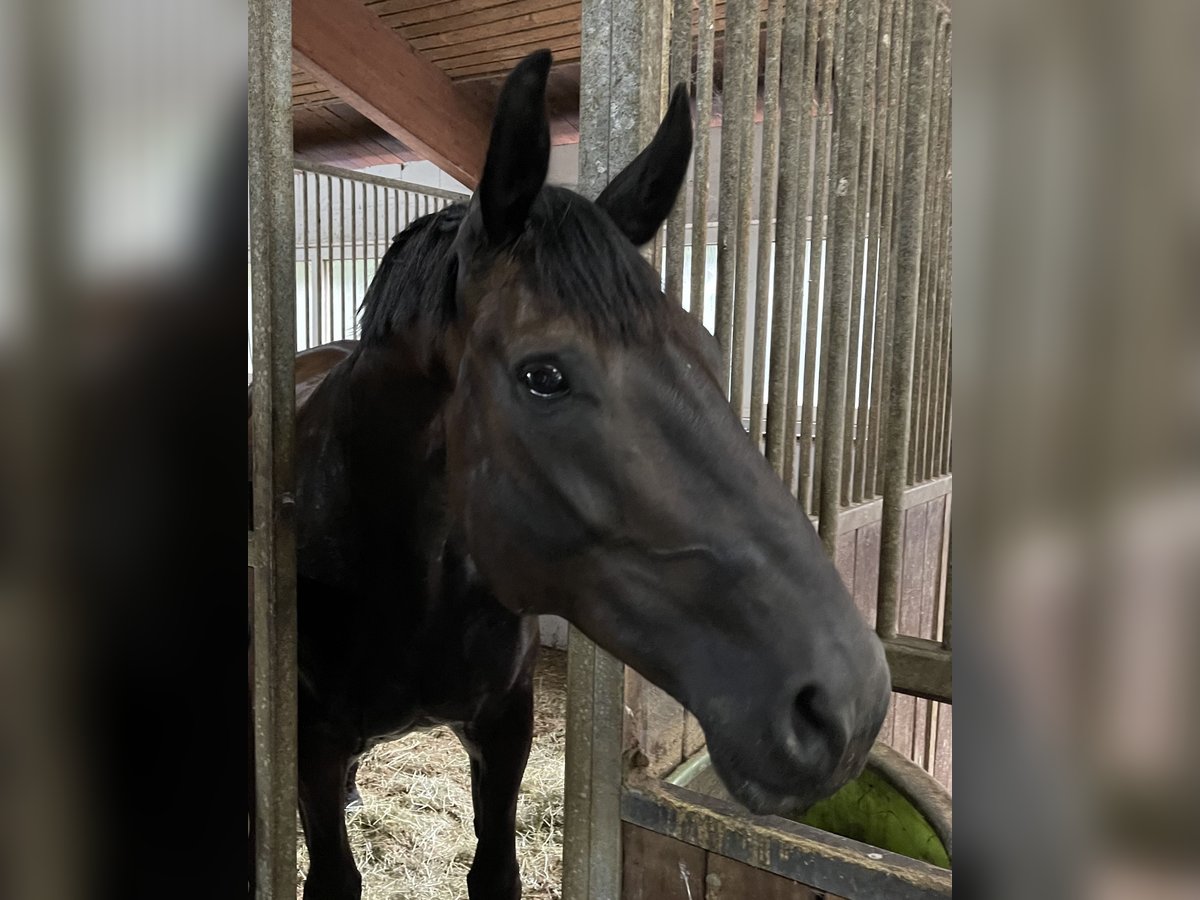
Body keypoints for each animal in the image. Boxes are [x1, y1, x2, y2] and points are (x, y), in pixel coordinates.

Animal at [248, 51, 892, 900]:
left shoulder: (505, 729)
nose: (847, 705)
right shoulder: (311, 751)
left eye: (708, 348)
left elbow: (496, 870)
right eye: (543, 376)